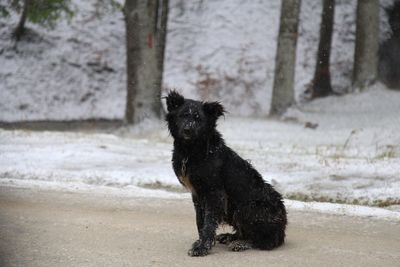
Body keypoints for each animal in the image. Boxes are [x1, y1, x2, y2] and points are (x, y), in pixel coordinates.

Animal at [166, 92, 288, 258]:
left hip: (247, 207)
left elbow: (209, 222)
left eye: (198, 119)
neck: (191, 151)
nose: (187, 130)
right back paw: (230, 237)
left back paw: (242, 243)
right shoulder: (197, 194)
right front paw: (201, 242)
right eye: (183, 115)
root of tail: (282, 229)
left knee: (266, 241)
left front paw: (202, 247)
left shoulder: (215, 193)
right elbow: (200, 221)